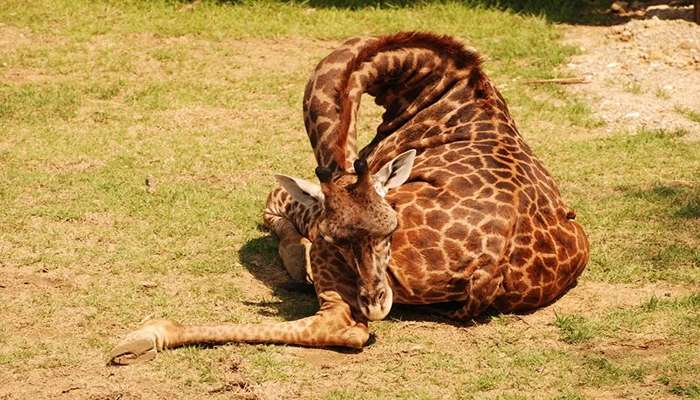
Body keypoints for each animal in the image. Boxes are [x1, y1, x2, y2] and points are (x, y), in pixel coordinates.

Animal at [108, 30, 592, 362]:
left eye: (392, 230)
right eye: (341, 238)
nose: (376, 302)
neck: (437, 93)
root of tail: (490, 266)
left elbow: (279, 197)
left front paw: (293, 257)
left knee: (339, 326)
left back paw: (144, 337)